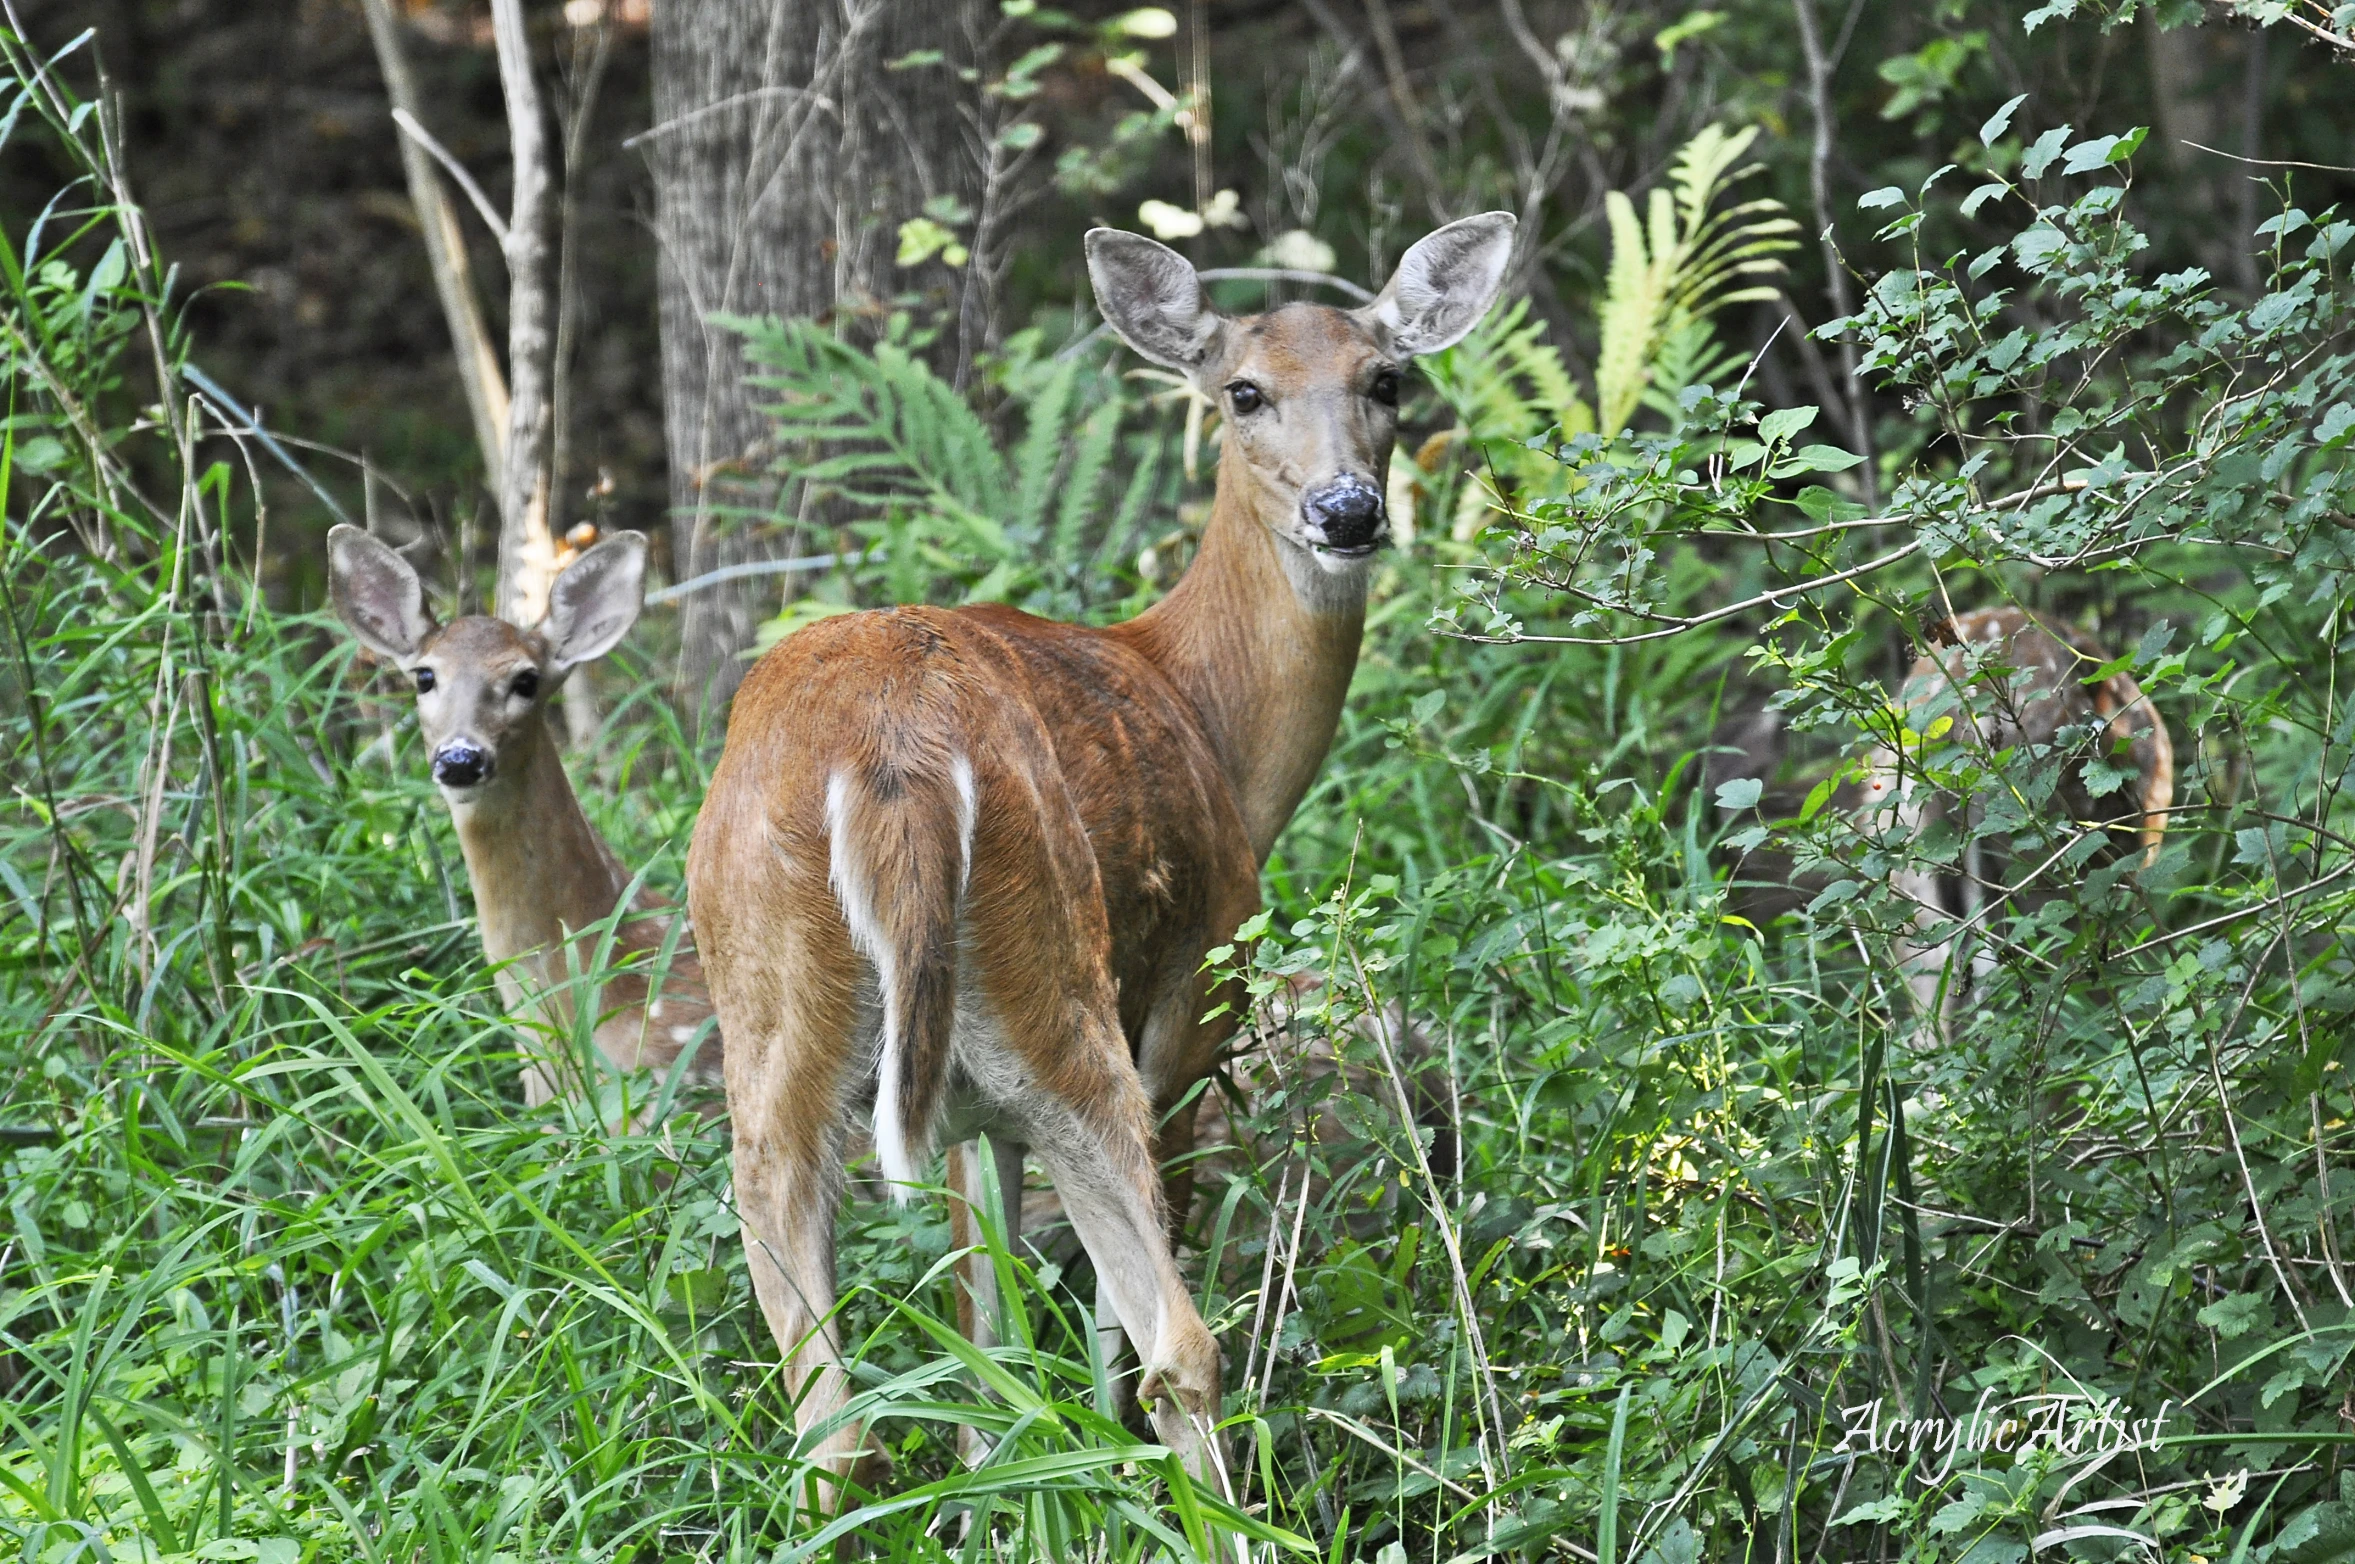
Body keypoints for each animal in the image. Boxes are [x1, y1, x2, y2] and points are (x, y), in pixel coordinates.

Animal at [687, 214, 1516, 1498]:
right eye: (1243, 392)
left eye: (1388, 379)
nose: (1347, 509)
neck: (1202, 709)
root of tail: (890, 764)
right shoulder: (1196, 999)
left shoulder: (970, 1115)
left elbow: (986, 1331)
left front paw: (1001, 1493)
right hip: (1060, 994)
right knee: (1182, 1344)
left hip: (773, 1008)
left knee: (831, 1418)